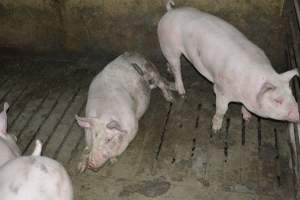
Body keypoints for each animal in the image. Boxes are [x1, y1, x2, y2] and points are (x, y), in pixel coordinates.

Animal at [158, 1, 298, 133]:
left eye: (291, 94)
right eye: (277, 100)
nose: (298, 115)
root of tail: (170, 12)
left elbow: (245, 107)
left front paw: (247, 118)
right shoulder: (221, 89)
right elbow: (222, 109)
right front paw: (215, 129)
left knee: (171, 65)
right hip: (168, 45)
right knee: (177, 68)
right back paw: (182, 92)